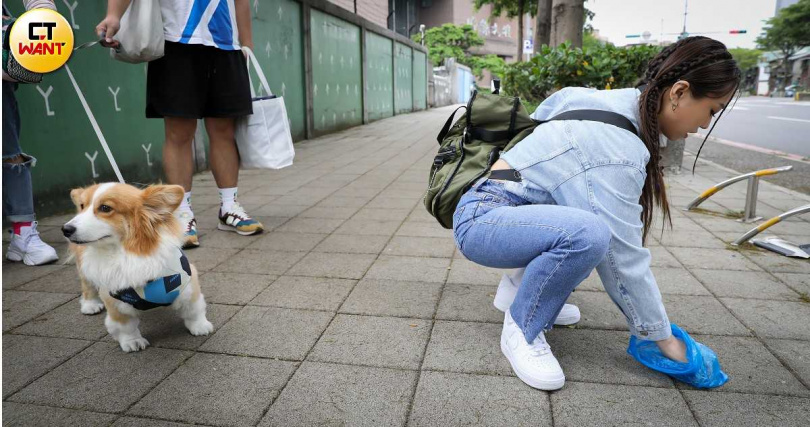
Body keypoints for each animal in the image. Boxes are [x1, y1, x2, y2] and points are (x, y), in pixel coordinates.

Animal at [63, 182, 213, 352]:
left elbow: (194, 310)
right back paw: (90, 305)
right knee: (87, 285)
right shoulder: (114, 301)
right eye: (83, 205)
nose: (66, 229)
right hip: (84, 266)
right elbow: (125, 327)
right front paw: (132, 342)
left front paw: (201, 327)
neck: (126, 254)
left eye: (105, 208)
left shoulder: (187, 285)